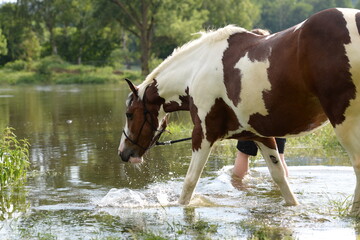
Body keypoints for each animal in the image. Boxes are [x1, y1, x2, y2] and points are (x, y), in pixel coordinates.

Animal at [119, 7, 360, 214]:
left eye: (129, 114)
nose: (124, 153)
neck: (197, 69)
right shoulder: (261, 136)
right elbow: (280, 179)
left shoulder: (203, 135)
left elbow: (189, 183)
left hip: (345, 122)